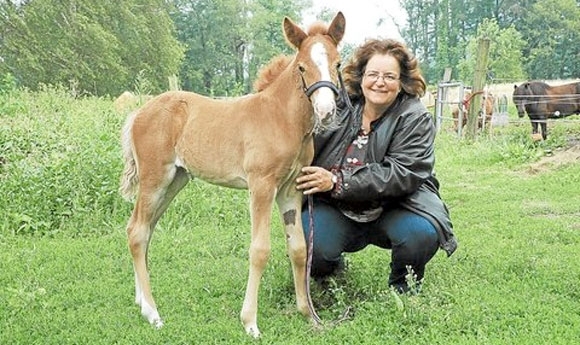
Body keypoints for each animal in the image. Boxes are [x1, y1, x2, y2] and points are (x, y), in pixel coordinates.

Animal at [118, 11, 344, 336]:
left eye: (338, 63)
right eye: (302, 66)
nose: (326, 111)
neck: (281, 118)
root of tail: (138, 112)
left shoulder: (291, 188)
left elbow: (299, 248)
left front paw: (308, 315)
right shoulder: (262, 185)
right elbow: (260, 250)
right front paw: (250, 322)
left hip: (175, 180)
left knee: (142, 229)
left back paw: (141, 302)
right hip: (155, 178)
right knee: (137, 231)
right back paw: (152, 312)